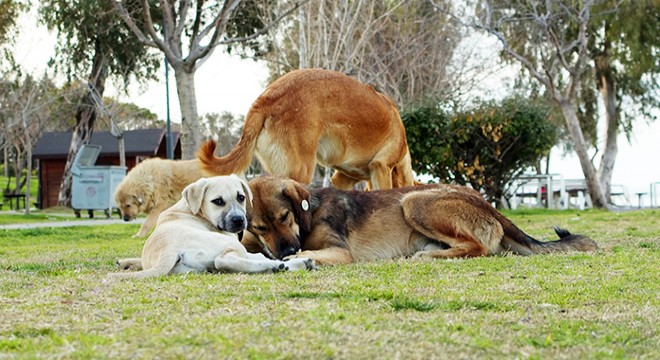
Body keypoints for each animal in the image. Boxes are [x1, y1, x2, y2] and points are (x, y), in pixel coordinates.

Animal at [110, 174, 318, 278]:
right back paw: (294, 264)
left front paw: (126, 262)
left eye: (241, 197)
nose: (239, 221)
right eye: (217, 201)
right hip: (226, 245)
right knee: (227, 260)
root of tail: (167, 251)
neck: (190, 209)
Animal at [242, 176, 600, 266]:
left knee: (477, 247)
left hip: (413, 202)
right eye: (260, 228)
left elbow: (315, 252)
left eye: (285, 216)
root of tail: (488, 205)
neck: (310, 212)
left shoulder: (339, 251)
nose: (287, 252)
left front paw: (299, 257)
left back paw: (428, 255)